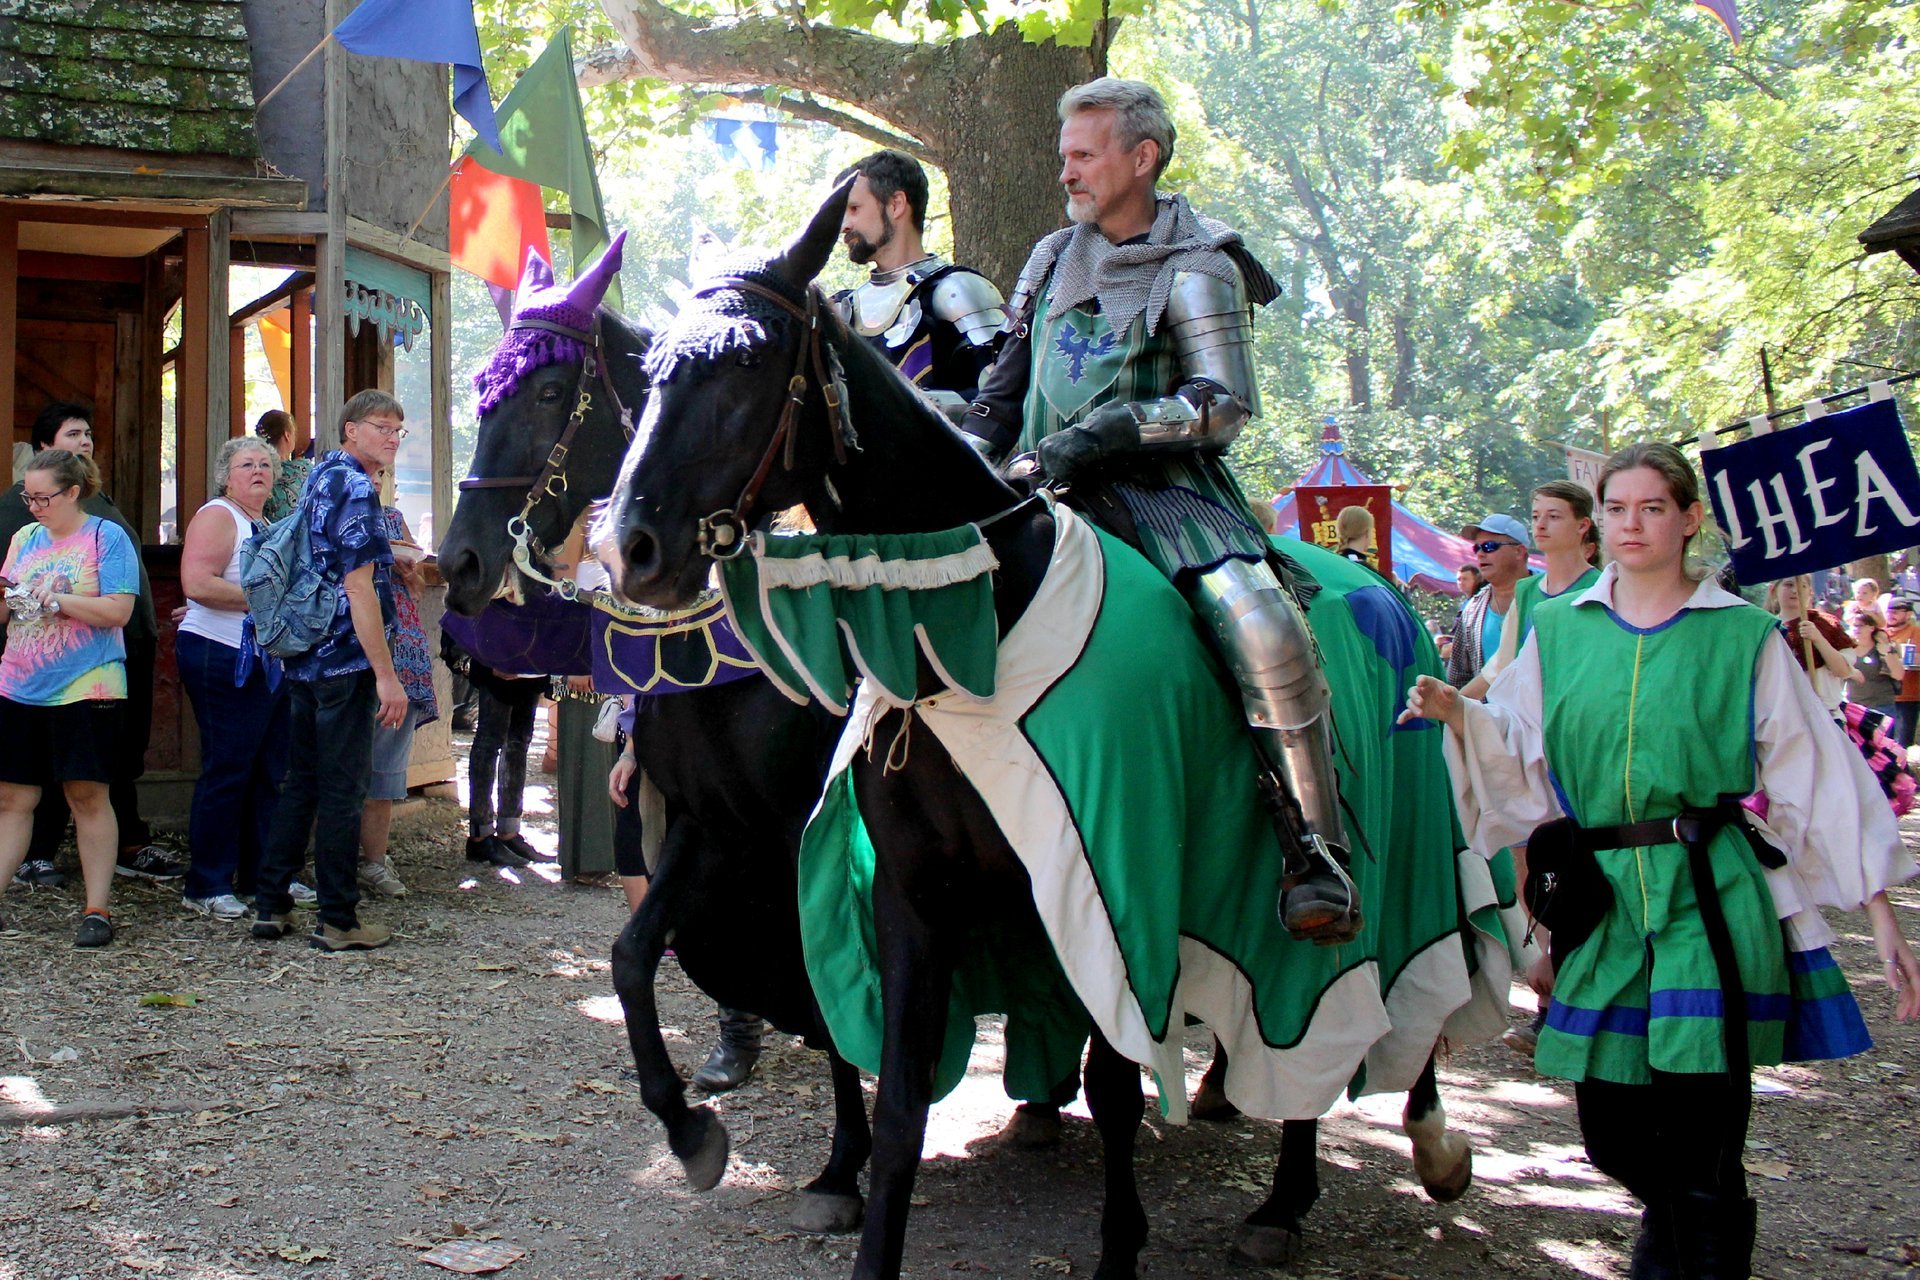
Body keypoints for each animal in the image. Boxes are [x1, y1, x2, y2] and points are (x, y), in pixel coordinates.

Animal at [439, 295, 875, 1235]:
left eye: (550, 392)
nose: (457, 562)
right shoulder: (708, 823)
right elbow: (632, 954)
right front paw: (687, 1127)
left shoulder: (802, 830)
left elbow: (824, 970)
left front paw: (843, 1166)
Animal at [606, 182, 1474, 1280]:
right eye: (649, 375)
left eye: (749, 360)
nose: (631, 547)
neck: (974, 621)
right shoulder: (906, 893)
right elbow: (895, 1098)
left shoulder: (1113, 891)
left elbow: (1115, 1086)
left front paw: (1118, 1250)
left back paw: (1297, 1192)